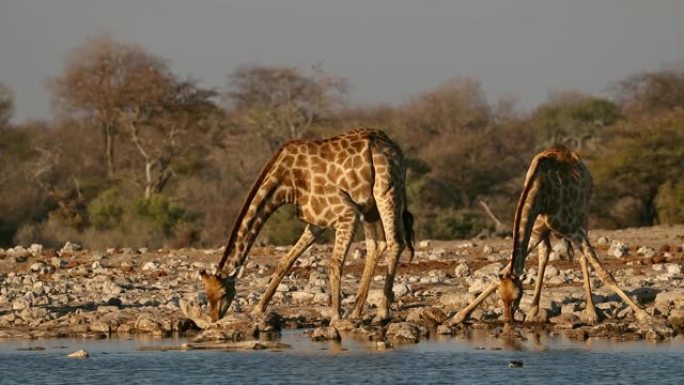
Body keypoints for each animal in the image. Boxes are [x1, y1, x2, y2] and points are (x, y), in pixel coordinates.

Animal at [200, 129, 414, 324]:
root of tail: (394, 148)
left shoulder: (346, 213)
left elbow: (334, 264)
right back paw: (355, 312)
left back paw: (381, 313)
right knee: (376, 245)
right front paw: (257, 309)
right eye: (207, 295)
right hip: (369, 205)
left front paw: (335, 317)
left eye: (222, 293)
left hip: (386, 191)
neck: (286, 182)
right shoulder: (316, 223)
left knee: (395, 242)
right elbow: (285, 261)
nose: (215, 319)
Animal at [452, 144, 648, 324]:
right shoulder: (536, 231)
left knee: (582, 258)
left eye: (517, 297)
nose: (508, 320)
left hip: (584, 215)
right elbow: (505, 271)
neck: (541, 191)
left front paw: (643, 314)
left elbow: (604, 273)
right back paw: (534, 311)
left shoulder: (573, 229)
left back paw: (591, 312)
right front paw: (460, 315)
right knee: (545, 255)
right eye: (501, 298)